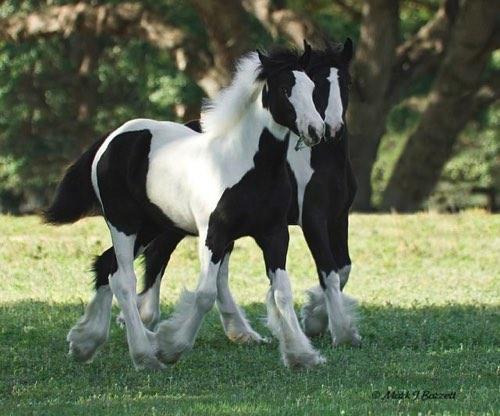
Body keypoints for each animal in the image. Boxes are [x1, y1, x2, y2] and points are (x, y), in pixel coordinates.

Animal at [46, 47, 328, 368]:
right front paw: (171, 346)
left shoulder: (274, 234)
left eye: (312, 88)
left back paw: (85, 342)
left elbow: (282, 292)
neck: (246, 163)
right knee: (123, 280)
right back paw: (144, 355)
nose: (316, 130)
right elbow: (205, 294)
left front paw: (302, 355)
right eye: (284, 89)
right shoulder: (214, 234)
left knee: (106, 266)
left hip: (152, 226)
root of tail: (110, 139)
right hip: (123, 223)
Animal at [108, 39, 360, 348]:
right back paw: (143, 320)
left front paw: (315, 317)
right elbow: (330, 272)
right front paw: (334, 328)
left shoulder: (338, 218)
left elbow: (343, 268)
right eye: (318, 85)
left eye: (346, 82)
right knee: (156, 257)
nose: (331, 130)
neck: (323, 161)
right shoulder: (313, 221)